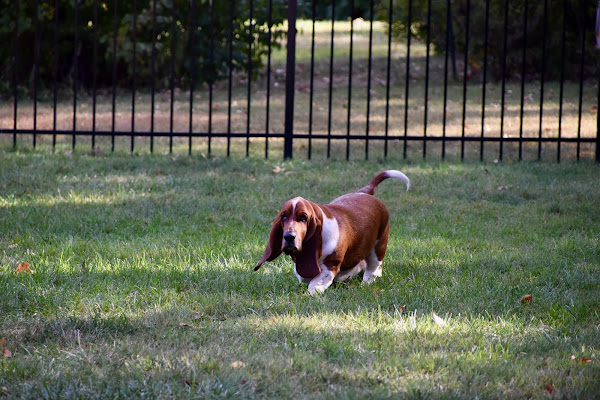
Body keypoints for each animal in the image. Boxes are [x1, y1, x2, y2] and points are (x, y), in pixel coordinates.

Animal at [254, 170, 409, 294]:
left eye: (303, 218)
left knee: (374, 268)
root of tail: (364, 192)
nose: (288, 237)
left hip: (377, 247)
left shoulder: (330, 266)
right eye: (284, 217)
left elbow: (315, 283)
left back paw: (366, 283)